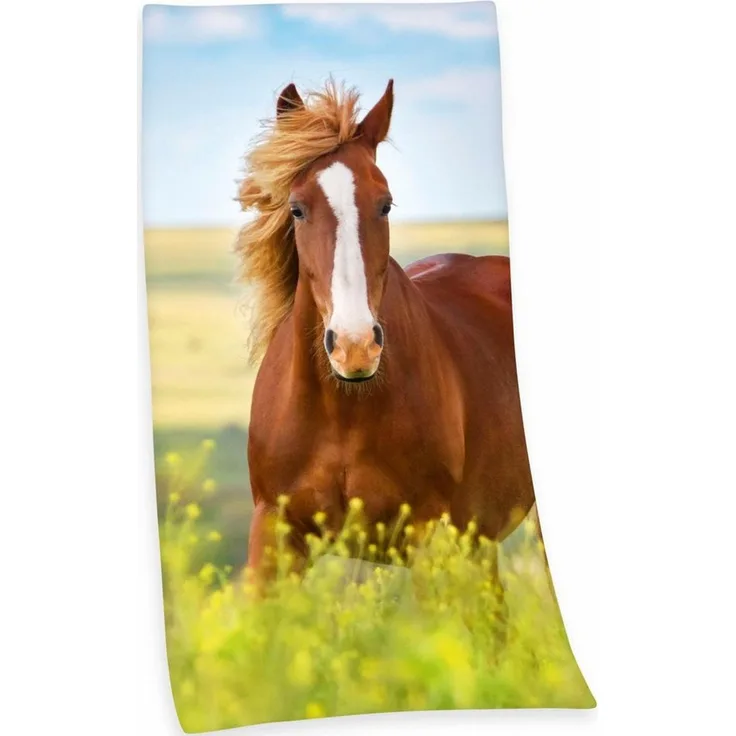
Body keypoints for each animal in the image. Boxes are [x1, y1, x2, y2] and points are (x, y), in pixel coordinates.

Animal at [237, 79, 536, 594]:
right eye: (297, 209)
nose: (355, 347)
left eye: (386, 204)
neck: (343, 411)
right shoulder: (273, 534)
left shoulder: (430, 537)